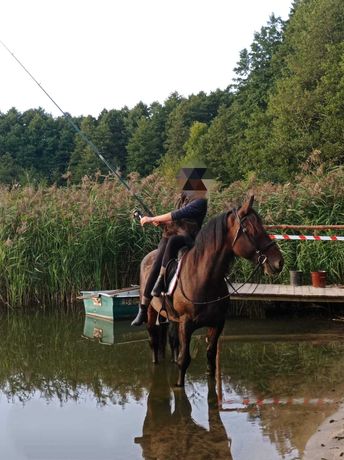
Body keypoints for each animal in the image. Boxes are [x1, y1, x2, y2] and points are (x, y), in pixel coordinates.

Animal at [140, 196, 282, 386]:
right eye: (250, 229)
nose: (278, 262)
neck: (203, 278)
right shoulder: (186, 324)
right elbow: (184, 360)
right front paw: (178, 384)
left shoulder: (217, 323)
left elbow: (210, 356)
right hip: (151, 312)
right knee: (153, 341)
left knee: (172, 341)